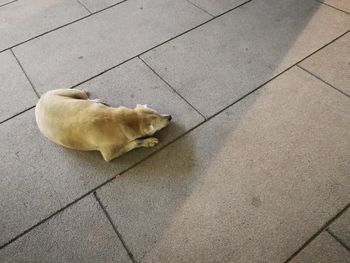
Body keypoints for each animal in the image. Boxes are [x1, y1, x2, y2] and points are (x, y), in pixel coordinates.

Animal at [34, 89, 172, 162]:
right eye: (159, 122)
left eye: (159, 113)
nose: (170, 117)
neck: (125, 119)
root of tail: (39, 102)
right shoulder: (109, 153)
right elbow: (133, 143)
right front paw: (149, 141)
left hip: (61, 93)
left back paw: (97, 100)